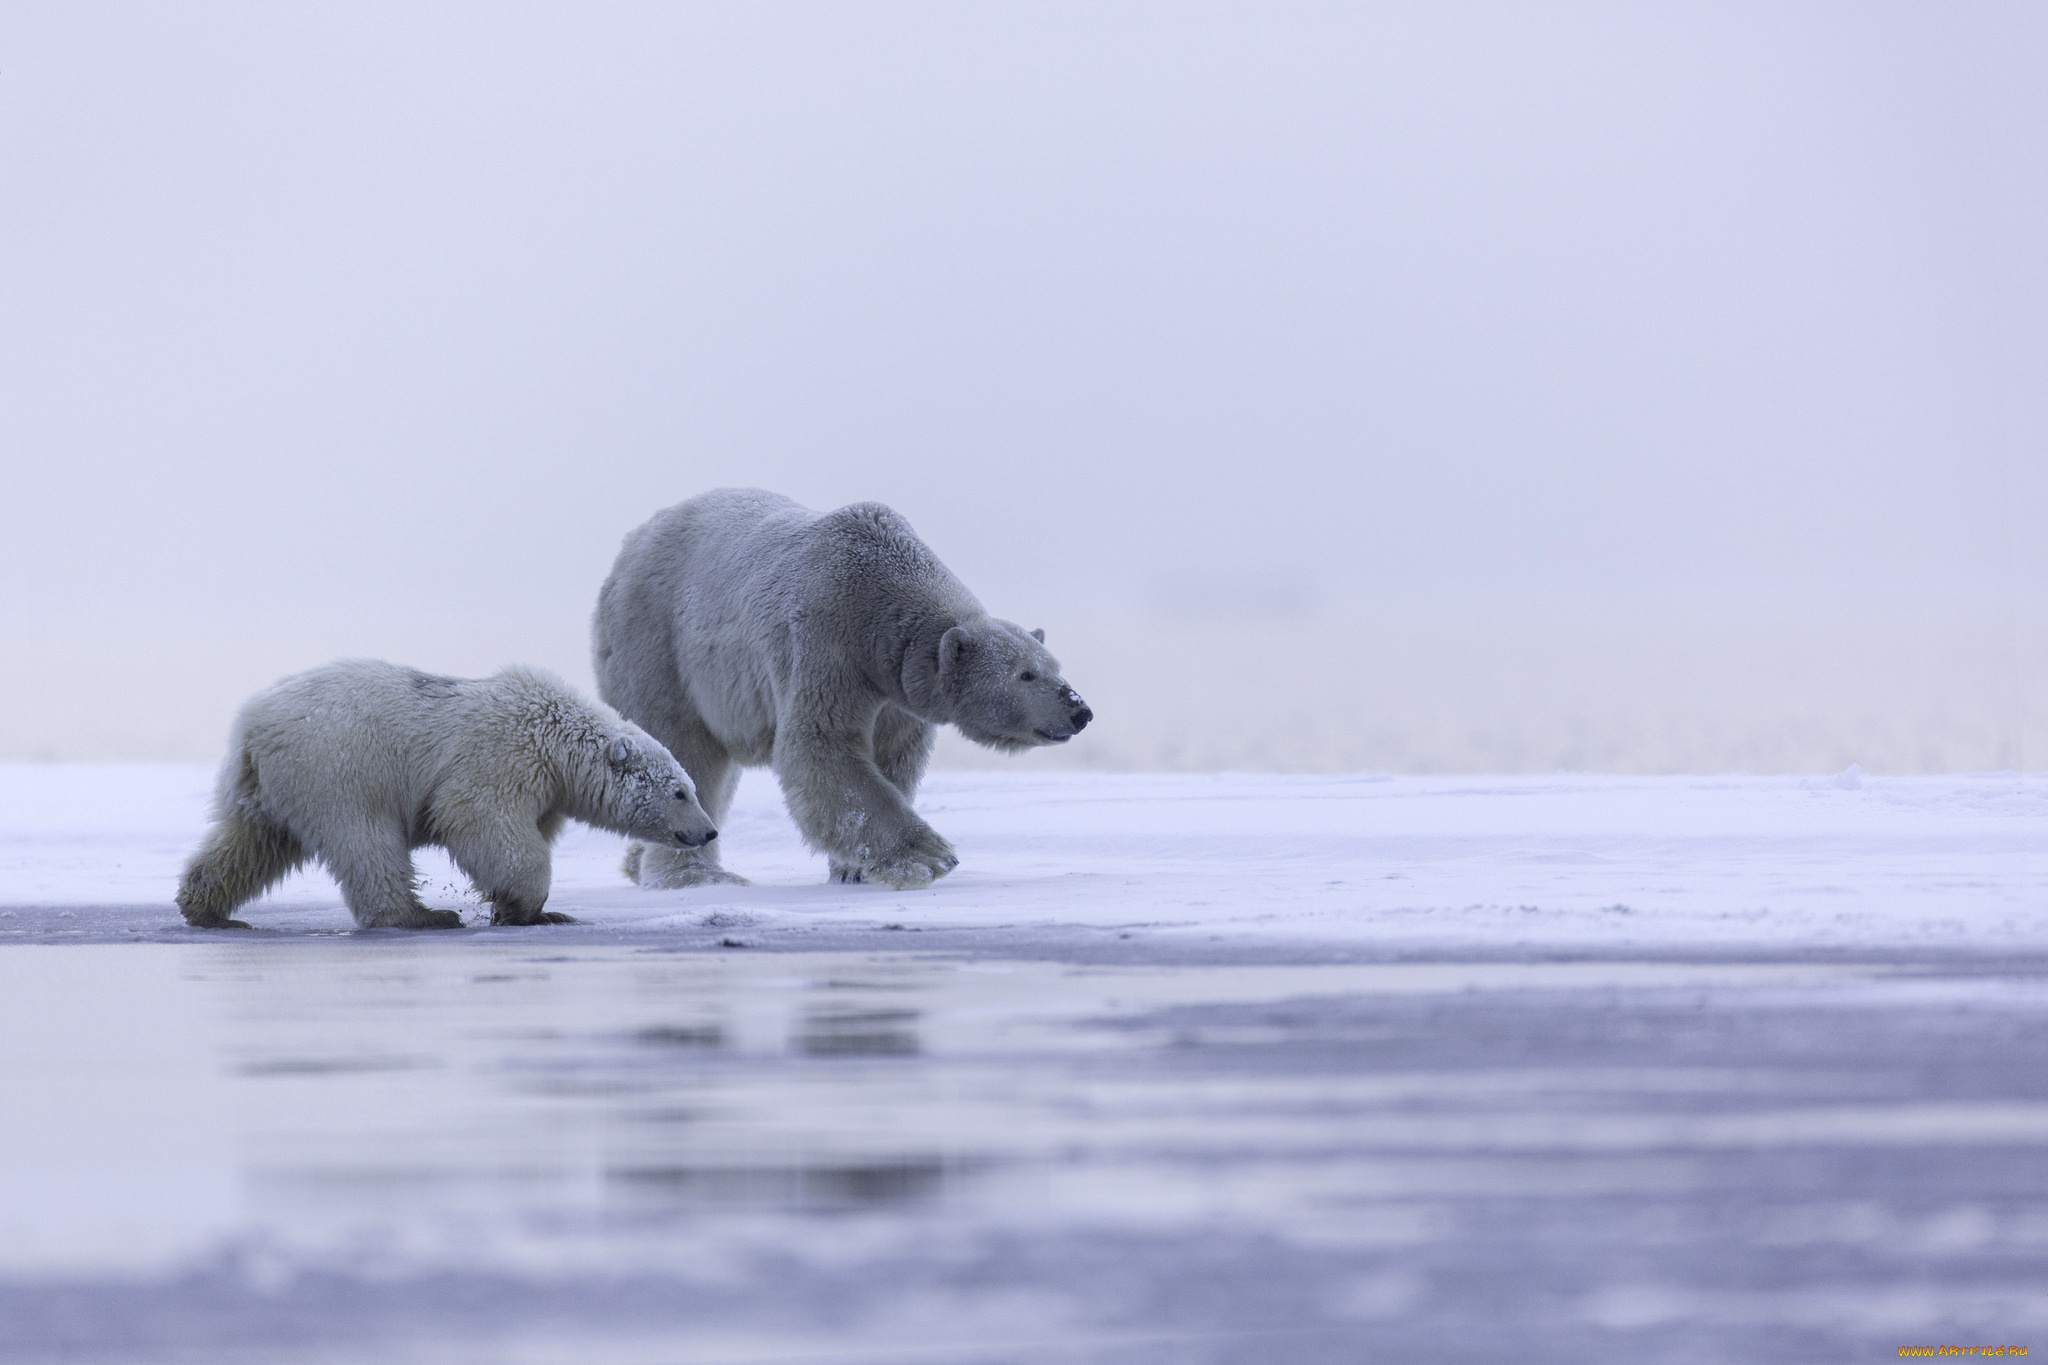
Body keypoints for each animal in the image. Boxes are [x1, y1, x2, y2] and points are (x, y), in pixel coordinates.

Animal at [178, 658, 720, 929]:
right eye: (680, 792)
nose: (710, 831)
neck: (555, 735)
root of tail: (252, 728)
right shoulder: (501, 757)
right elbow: (482, 821)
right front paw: (532, 910)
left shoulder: (546, 789)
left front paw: (528, 909)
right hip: (338, 767)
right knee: (366, 841)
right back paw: (422, 915)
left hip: (269, 787)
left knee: (249, 842)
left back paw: (206, 910)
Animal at [593, 485, 1089, 892]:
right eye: (1025, 674)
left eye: (1054, 666)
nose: (1080, 711)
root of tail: (629, 546)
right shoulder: (828, 638)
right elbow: (821, 746)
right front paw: (928, 856)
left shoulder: (895, 688)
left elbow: (893, 756)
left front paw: (853, 869)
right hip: (660, 646)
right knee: (684, 747)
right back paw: (697, 875)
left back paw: (637, 865)